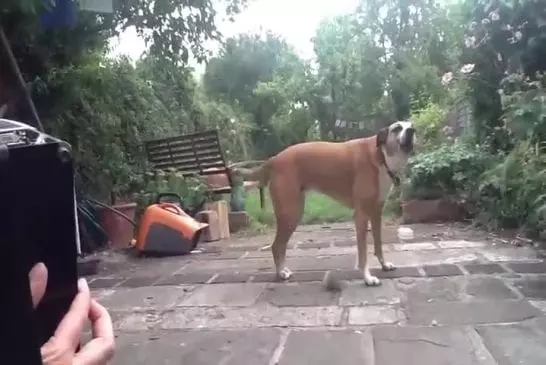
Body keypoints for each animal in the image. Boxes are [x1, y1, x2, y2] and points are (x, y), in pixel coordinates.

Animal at [236, 121, 414, 286]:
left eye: (411, 126)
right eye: (397, 128)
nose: (411, 131)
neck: (380, 156)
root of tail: (274, 159)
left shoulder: (376, 212)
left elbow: (378, 244)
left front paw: (384, 265)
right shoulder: (361, 215)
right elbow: (363, 253)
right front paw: (367, 278)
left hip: (292, 213)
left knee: (281, 245)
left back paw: (283, 270)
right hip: (291, 214)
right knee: (276, 245)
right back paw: (280, 273)